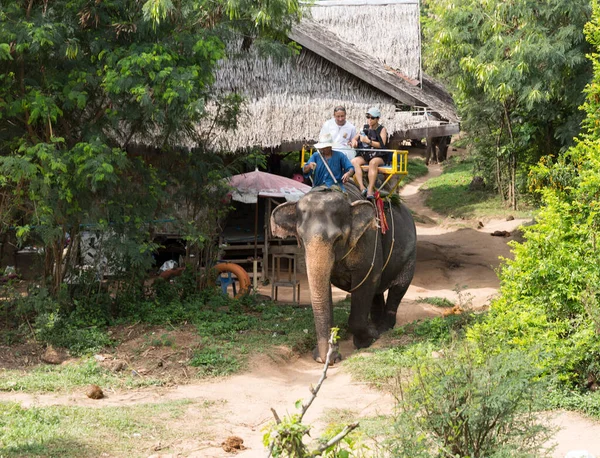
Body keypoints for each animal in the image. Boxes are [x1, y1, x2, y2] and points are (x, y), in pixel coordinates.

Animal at [272, 184, 418, 364]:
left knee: (398, 288)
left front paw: (367, 340)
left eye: (338, 239)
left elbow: (367, 280)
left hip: (410, 255)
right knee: (376, 292)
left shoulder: (368, 241)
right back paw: (376, 325)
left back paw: (384, 329)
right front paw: (330, 356)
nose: (323, 359)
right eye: (301, 238)